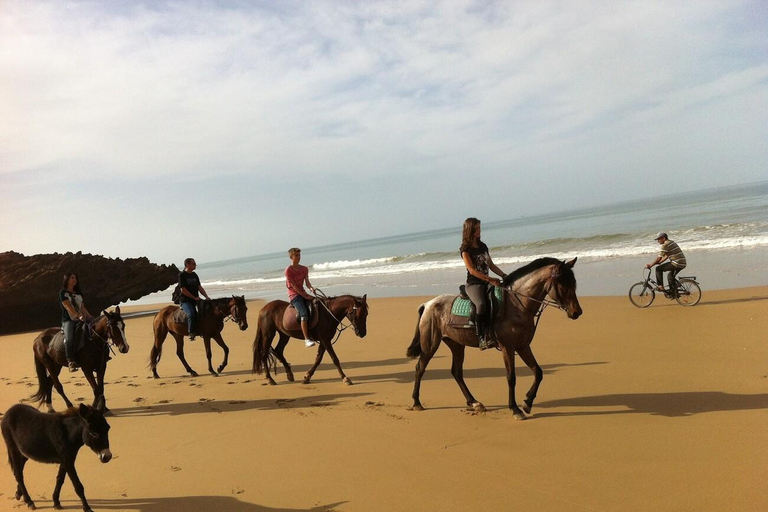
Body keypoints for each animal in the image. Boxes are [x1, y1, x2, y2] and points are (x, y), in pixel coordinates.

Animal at [404, 256, 580, 420]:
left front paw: (527, 403)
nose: (577, 312)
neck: (516, 305)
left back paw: (474, 403)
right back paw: (417, 402)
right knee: (420, 368)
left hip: (457, 344)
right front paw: (515, 409)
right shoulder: (508, 348)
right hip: (430, 344)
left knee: (457, 372)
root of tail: (427, 304)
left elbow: (538, 372)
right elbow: (511, 377)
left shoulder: (523, 346)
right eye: (563, 285)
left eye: (573, 284)